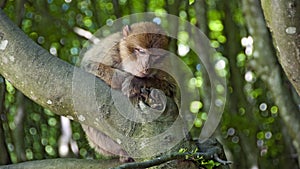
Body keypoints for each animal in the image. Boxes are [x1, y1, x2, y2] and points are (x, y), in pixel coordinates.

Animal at [80, 22, 178, 162]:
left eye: (155, 55)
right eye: (141, 51)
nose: (146, 66)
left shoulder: (165, 65)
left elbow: (172, 88)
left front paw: (135, 82)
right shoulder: (108, 50)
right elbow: (88, 65)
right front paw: (124, 80)